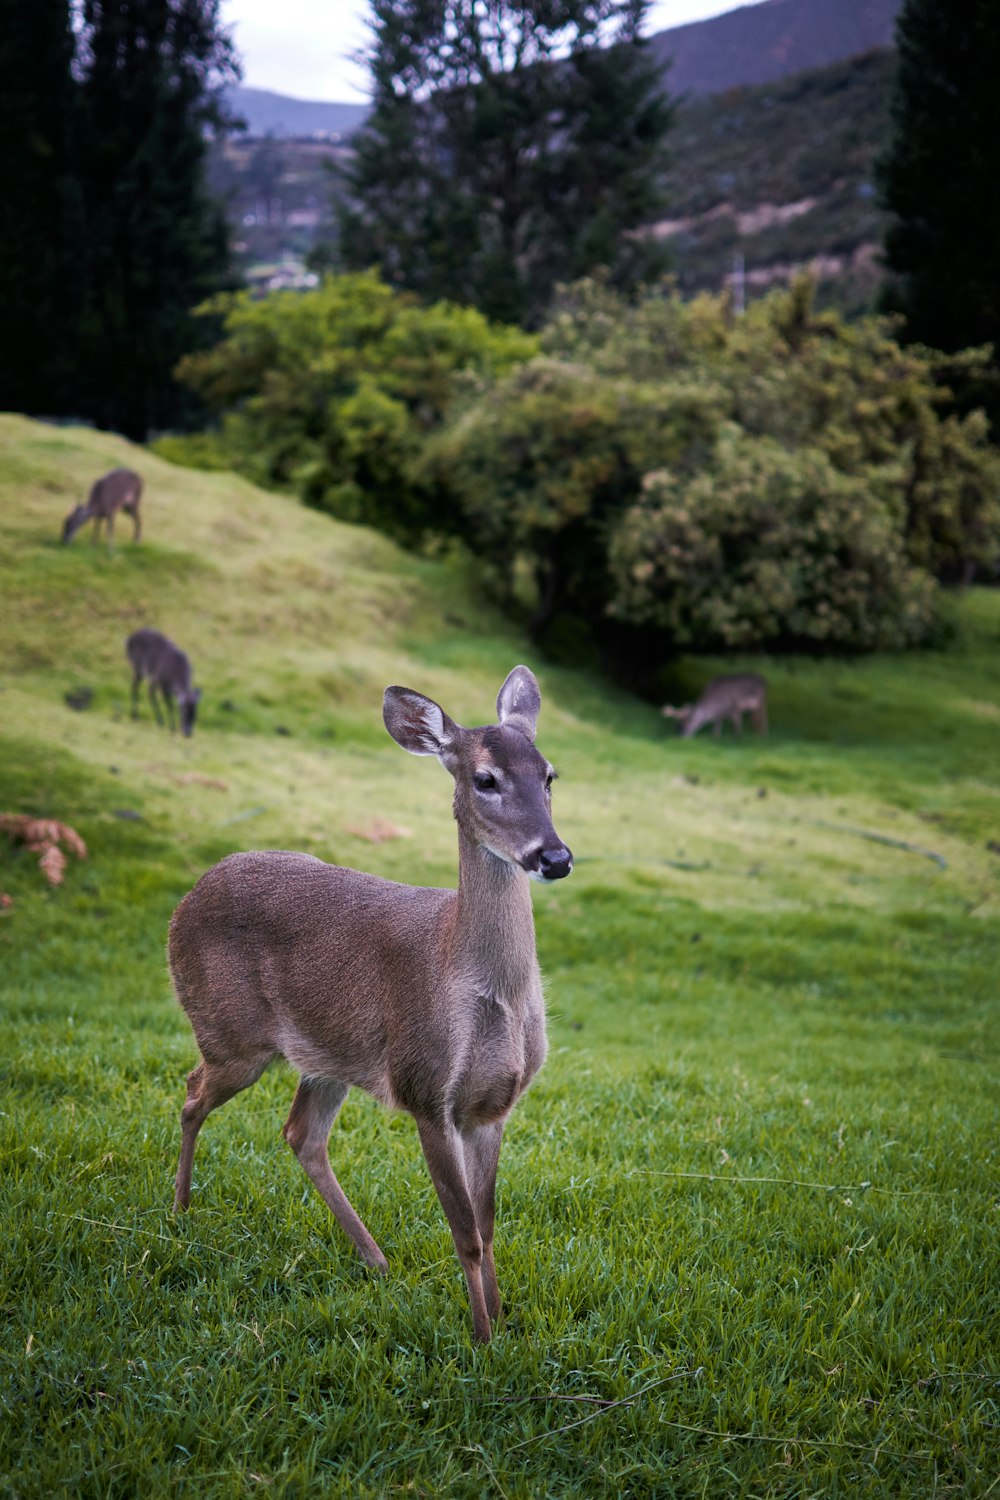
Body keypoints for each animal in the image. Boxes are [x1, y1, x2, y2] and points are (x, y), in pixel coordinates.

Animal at [169, 663, 575, 1344]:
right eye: (485, 779)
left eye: (549, 774)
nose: (555, 856)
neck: (483, 987)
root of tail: (186, 898)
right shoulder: (425, 1089)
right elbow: (465, 1231)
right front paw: (482, 1340)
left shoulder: (492, 1106)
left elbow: (489, 1223)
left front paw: (500, 1318)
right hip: (230, 1035)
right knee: (192, 1094)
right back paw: (179, 1211)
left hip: (328, 1057)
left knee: (300, 1133)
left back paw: (377, 1261)